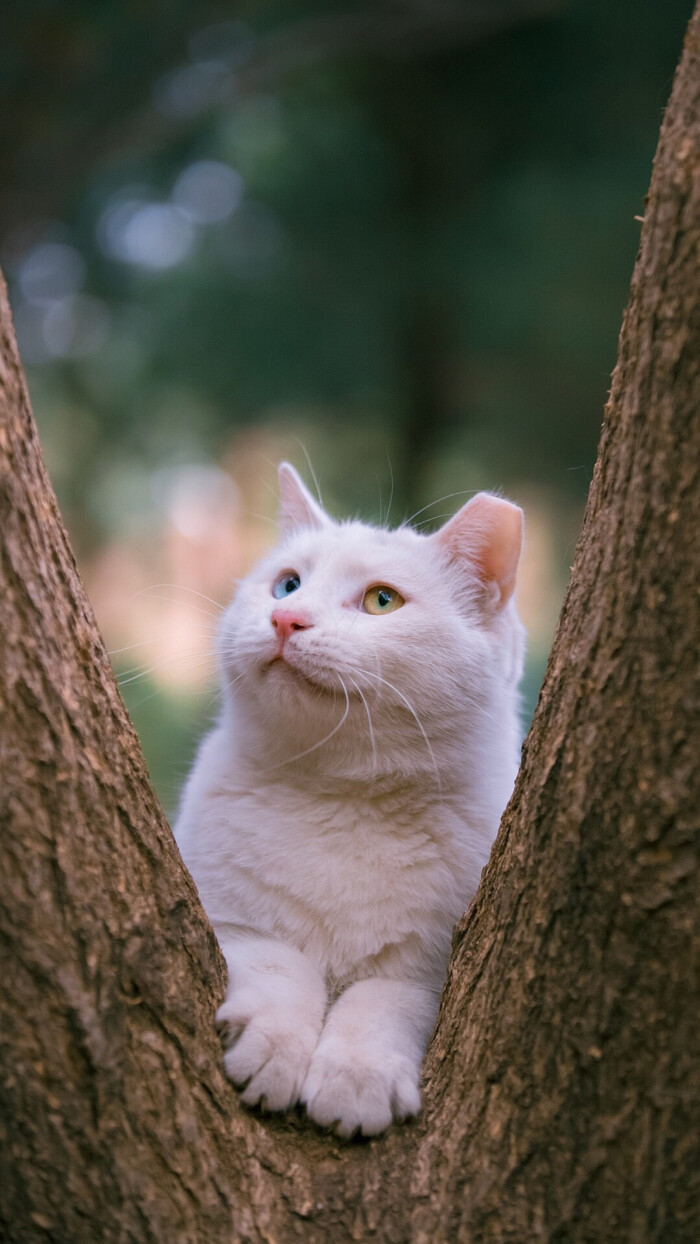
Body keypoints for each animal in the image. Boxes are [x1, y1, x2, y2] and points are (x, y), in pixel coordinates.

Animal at [175, 460, 527, 1139]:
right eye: (287, 585)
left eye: (381, 600)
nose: (287, 619)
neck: (342, 798)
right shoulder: (223, 918)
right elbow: (282, 963)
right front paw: (275, 1048)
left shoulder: (433, 974)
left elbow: (380, 1000)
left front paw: (356, 1079)